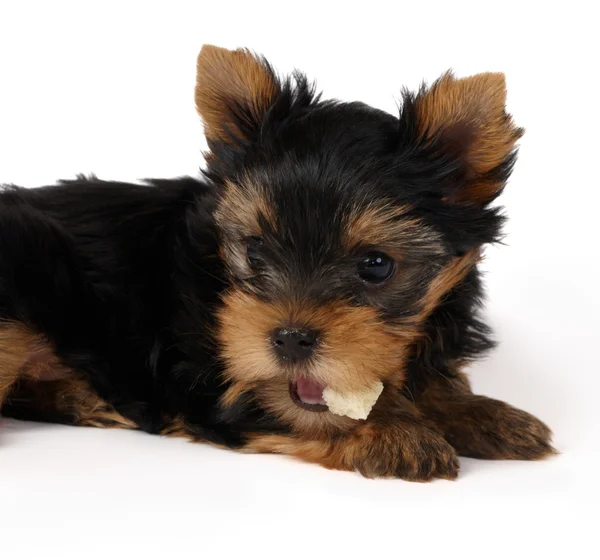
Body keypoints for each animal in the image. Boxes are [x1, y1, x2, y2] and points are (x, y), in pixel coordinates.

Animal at [0, 44, 552, 482]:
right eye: (255, 250)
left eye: (376, 266)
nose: (289, 339)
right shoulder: (211, 382)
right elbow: (302, 411)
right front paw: (397, 434)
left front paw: (481, 413)